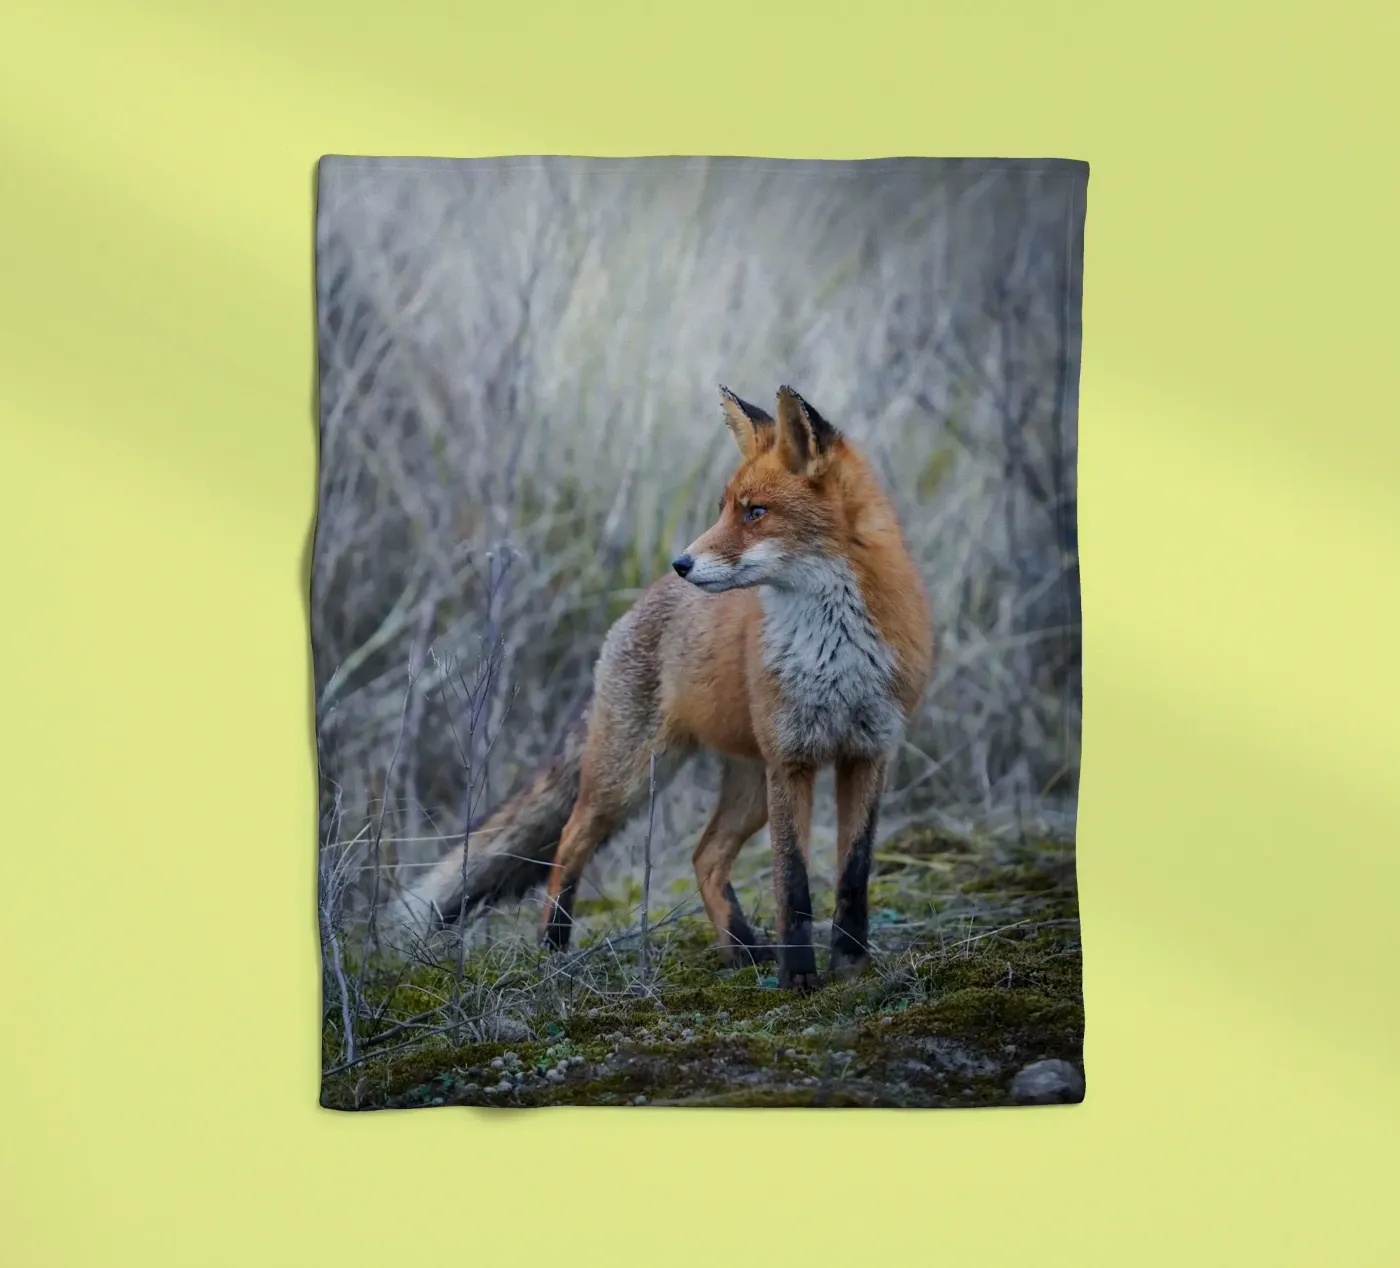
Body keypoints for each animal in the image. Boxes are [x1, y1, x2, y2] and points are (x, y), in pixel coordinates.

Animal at [400, 385, 934, 991]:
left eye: (755, 512)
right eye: (725, 507)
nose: (682, 562)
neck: (833, 651)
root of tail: (640, 603)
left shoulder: (868, 752)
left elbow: (853, 874)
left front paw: (851, 964)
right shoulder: (792, 760)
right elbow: (793, 885)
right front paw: (799, 978)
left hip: (748, 787)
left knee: (705, 856)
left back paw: (742, 949)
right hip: (631, 777)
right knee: (570, 840)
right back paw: (553, 948)